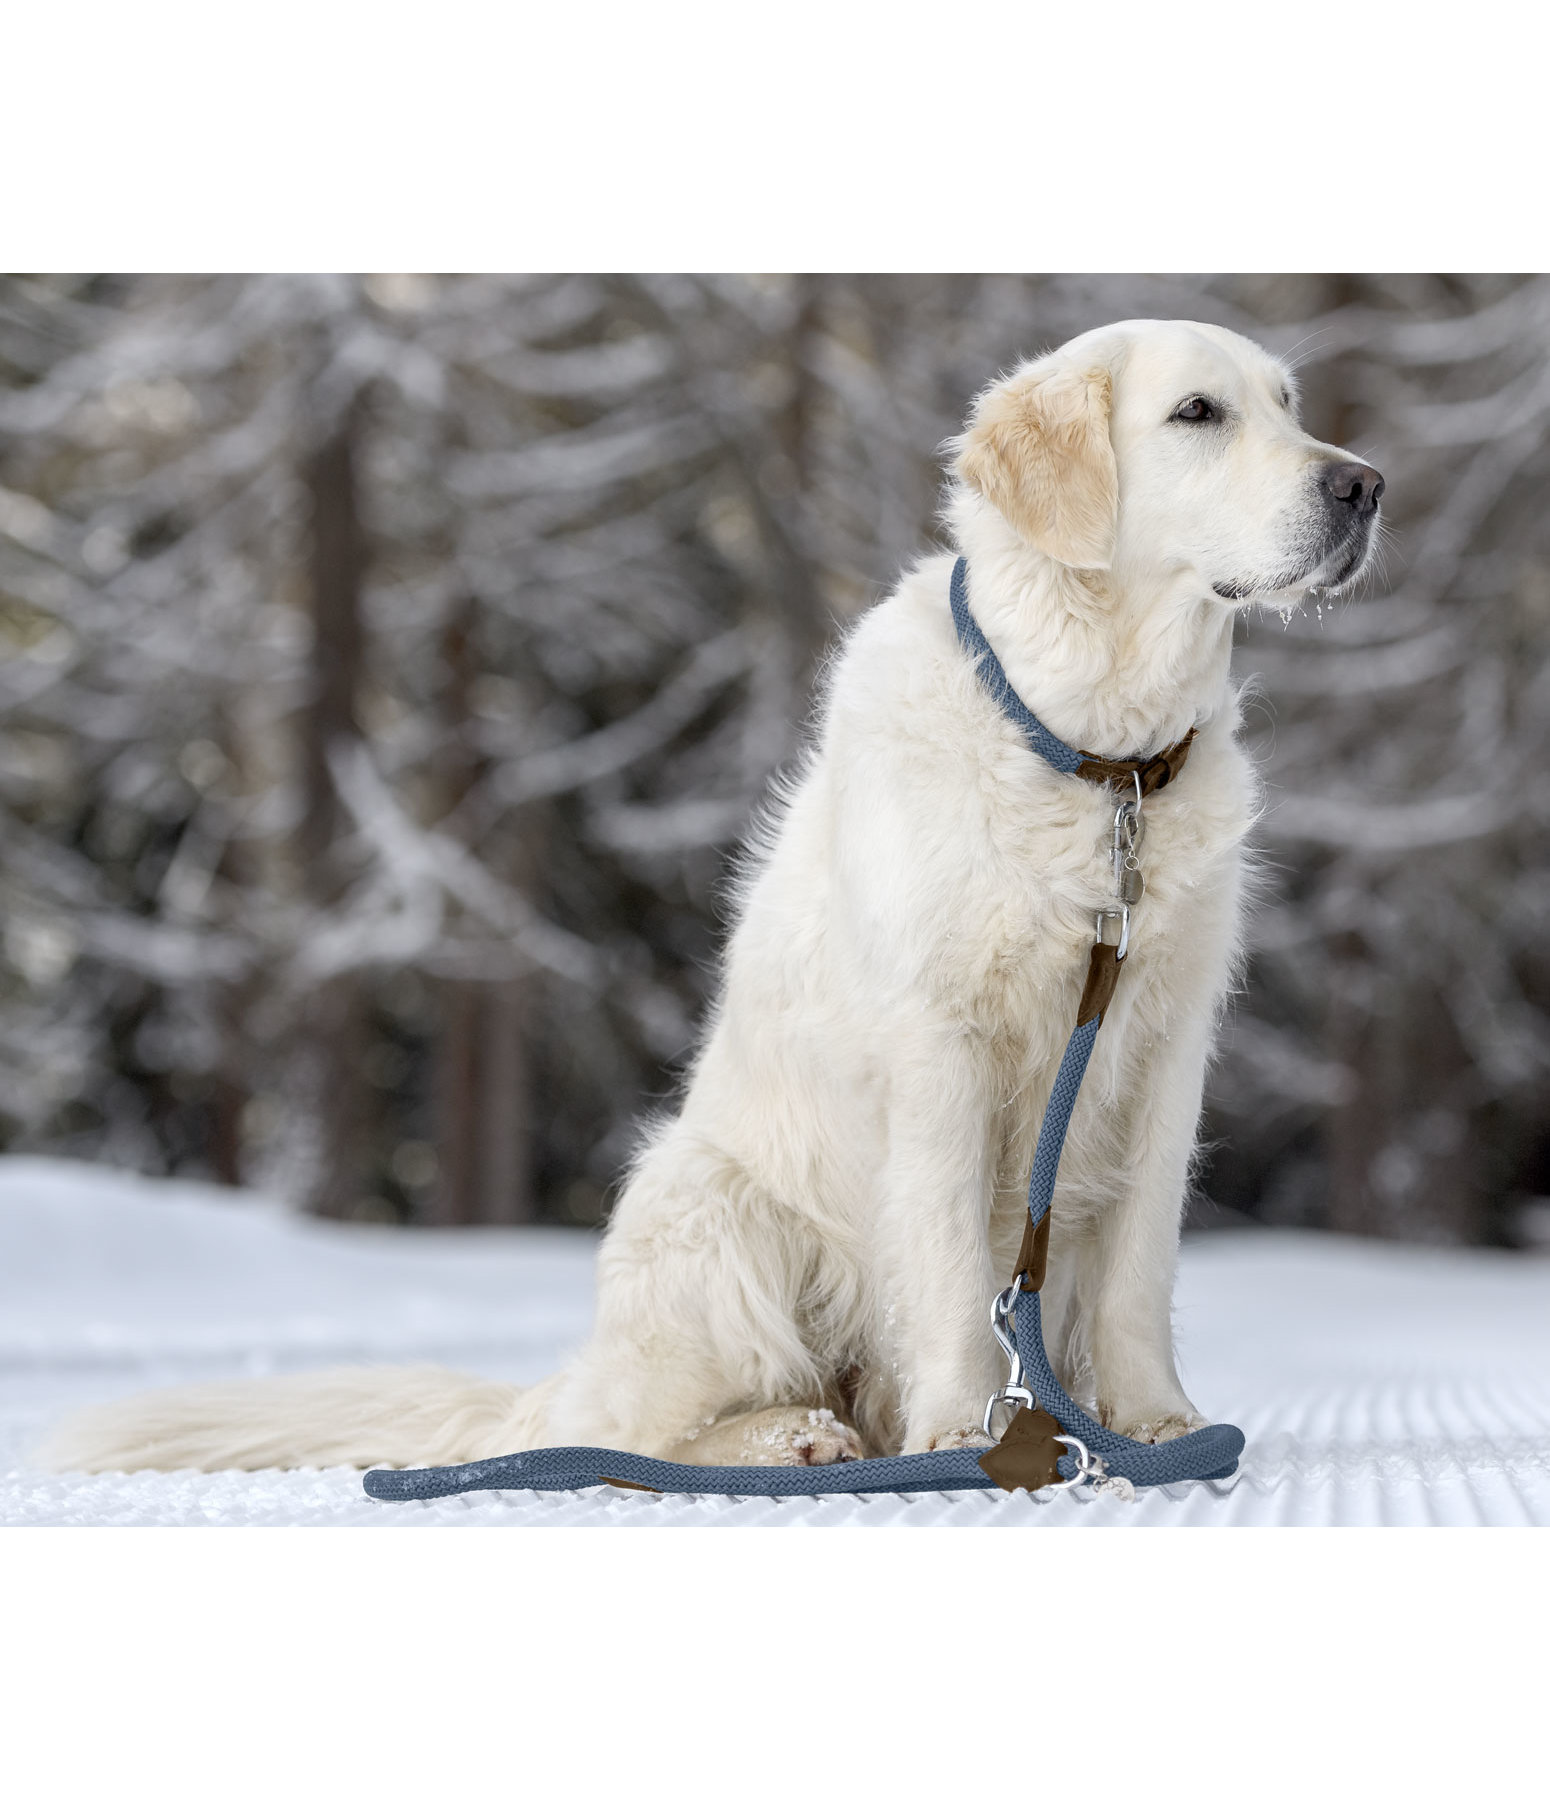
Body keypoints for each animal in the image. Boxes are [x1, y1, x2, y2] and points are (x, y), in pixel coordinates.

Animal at [45, 320, 1375, 1476]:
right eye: (1196, 413)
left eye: (1287, 404)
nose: (1365, 487)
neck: (1099, 763)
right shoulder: (940, 1044)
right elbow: (949, 1261)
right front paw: (962, 1430)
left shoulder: (1160, 1044)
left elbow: (1140, 1269)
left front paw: (1155, 1424)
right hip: (711, 1210)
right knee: (630, 1436)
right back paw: (791, 1439)